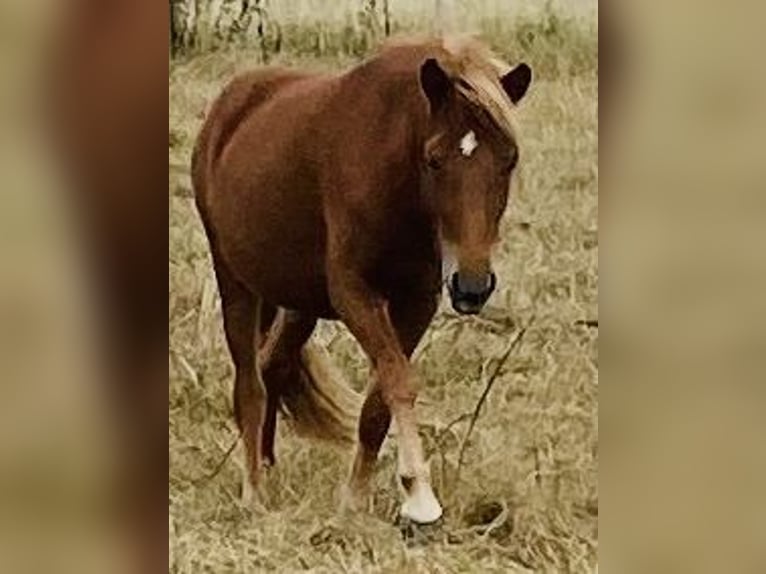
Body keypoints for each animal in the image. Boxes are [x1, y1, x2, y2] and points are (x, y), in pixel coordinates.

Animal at [192, 36, 532, 528]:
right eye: (433, 159)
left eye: (509, 159)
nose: (472, 286)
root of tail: (228, 105)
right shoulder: (354, 294)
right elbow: (398, 380)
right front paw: (420, 497)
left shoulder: (416, 302)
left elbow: (379, 401)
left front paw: (355, 500)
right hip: (235, 281)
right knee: (250, 384)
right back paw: (253, 492)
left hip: (298, 301)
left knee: (274, 367)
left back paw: (270, 466)